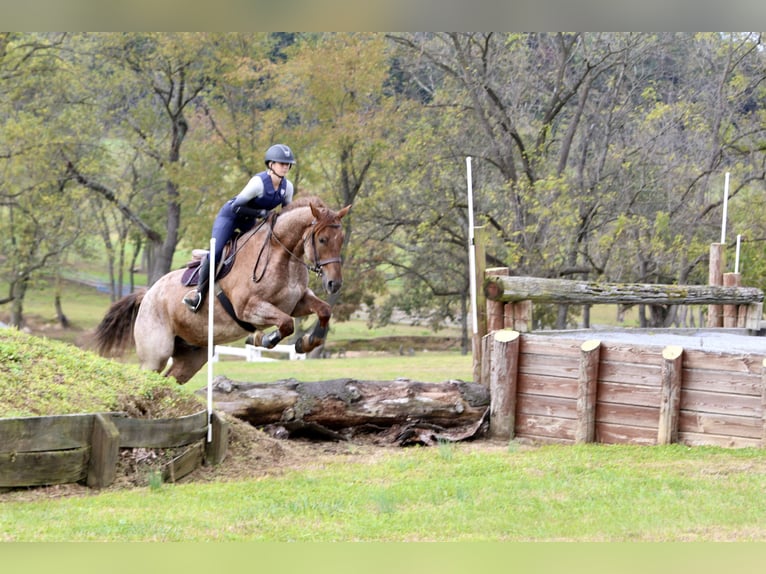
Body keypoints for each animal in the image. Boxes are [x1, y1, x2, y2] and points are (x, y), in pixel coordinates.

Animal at [94, 197, 351, 384]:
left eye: (341, 238)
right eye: (322, 240)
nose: (334, 284)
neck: (282, 255)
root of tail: (146, 294)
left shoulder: (296, 303)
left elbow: (323, 310)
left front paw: (306, 342)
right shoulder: (248, 308)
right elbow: (286, 324)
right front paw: (261, 338)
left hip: (193, 356)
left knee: (170, 380)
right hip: (156, 354)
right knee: (149, 374)